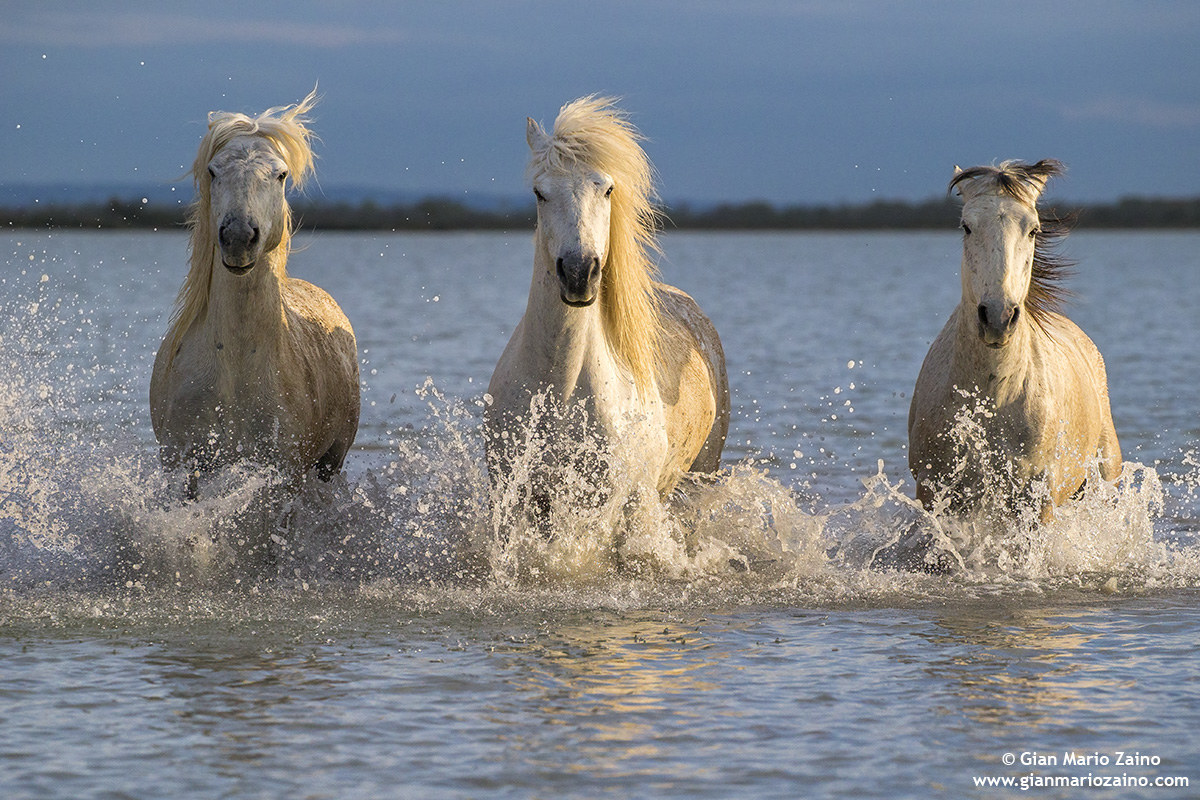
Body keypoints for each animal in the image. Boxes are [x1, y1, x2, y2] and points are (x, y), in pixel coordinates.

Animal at [150, 90, 360, 497]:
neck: (236, 363)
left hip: (331, 463)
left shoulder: (284, 473)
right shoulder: (183, 465)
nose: (238, 237)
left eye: (280, 174)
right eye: (213, 171)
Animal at [485, 96, 730, 527]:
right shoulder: (516, 498)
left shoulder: (610, 502)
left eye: (608, 189)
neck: (560, 390)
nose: (579, 273)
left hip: (699, 476)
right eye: (539, 192)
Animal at [908, 159, 1121, 522]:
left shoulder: (1038, 498)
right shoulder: (935, 492)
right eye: (966, 226)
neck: (995, 395)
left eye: (1033, 229)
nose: (998, 318)